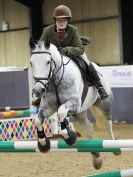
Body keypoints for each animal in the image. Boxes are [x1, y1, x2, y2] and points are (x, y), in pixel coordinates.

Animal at [29, 39, 116, 170]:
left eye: (48, 62)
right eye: (31, 63)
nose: (38, 90)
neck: (55, 80)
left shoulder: (74, 103)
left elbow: (61, 112)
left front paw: (69, 137)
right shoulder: (49, 107)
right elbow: (39, 120)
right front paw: (43, 144)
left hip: (104, 103)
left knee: (108, 122)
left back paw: (115, 146)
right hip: (80, 113)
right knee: (89, 128)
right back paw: (96, 158)